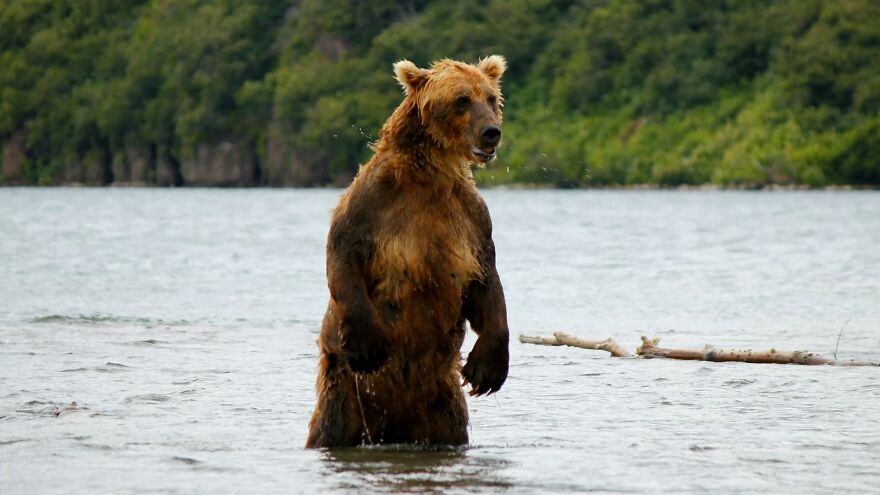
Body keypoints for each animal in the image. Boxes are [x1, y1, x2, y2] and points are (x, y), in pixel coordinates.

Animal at [306, 55, 510, 448]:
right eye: (462, 100)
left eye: (491, 97)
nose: (491, 132)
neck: (429, 174)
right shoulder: (373, 203)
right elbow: (343, 252)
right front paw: (368, 344)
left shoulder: (472, 219)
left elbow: (485, 279)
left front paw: (487, 368)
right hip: (345, 394)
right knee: (329, 429)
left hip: (443, 405)